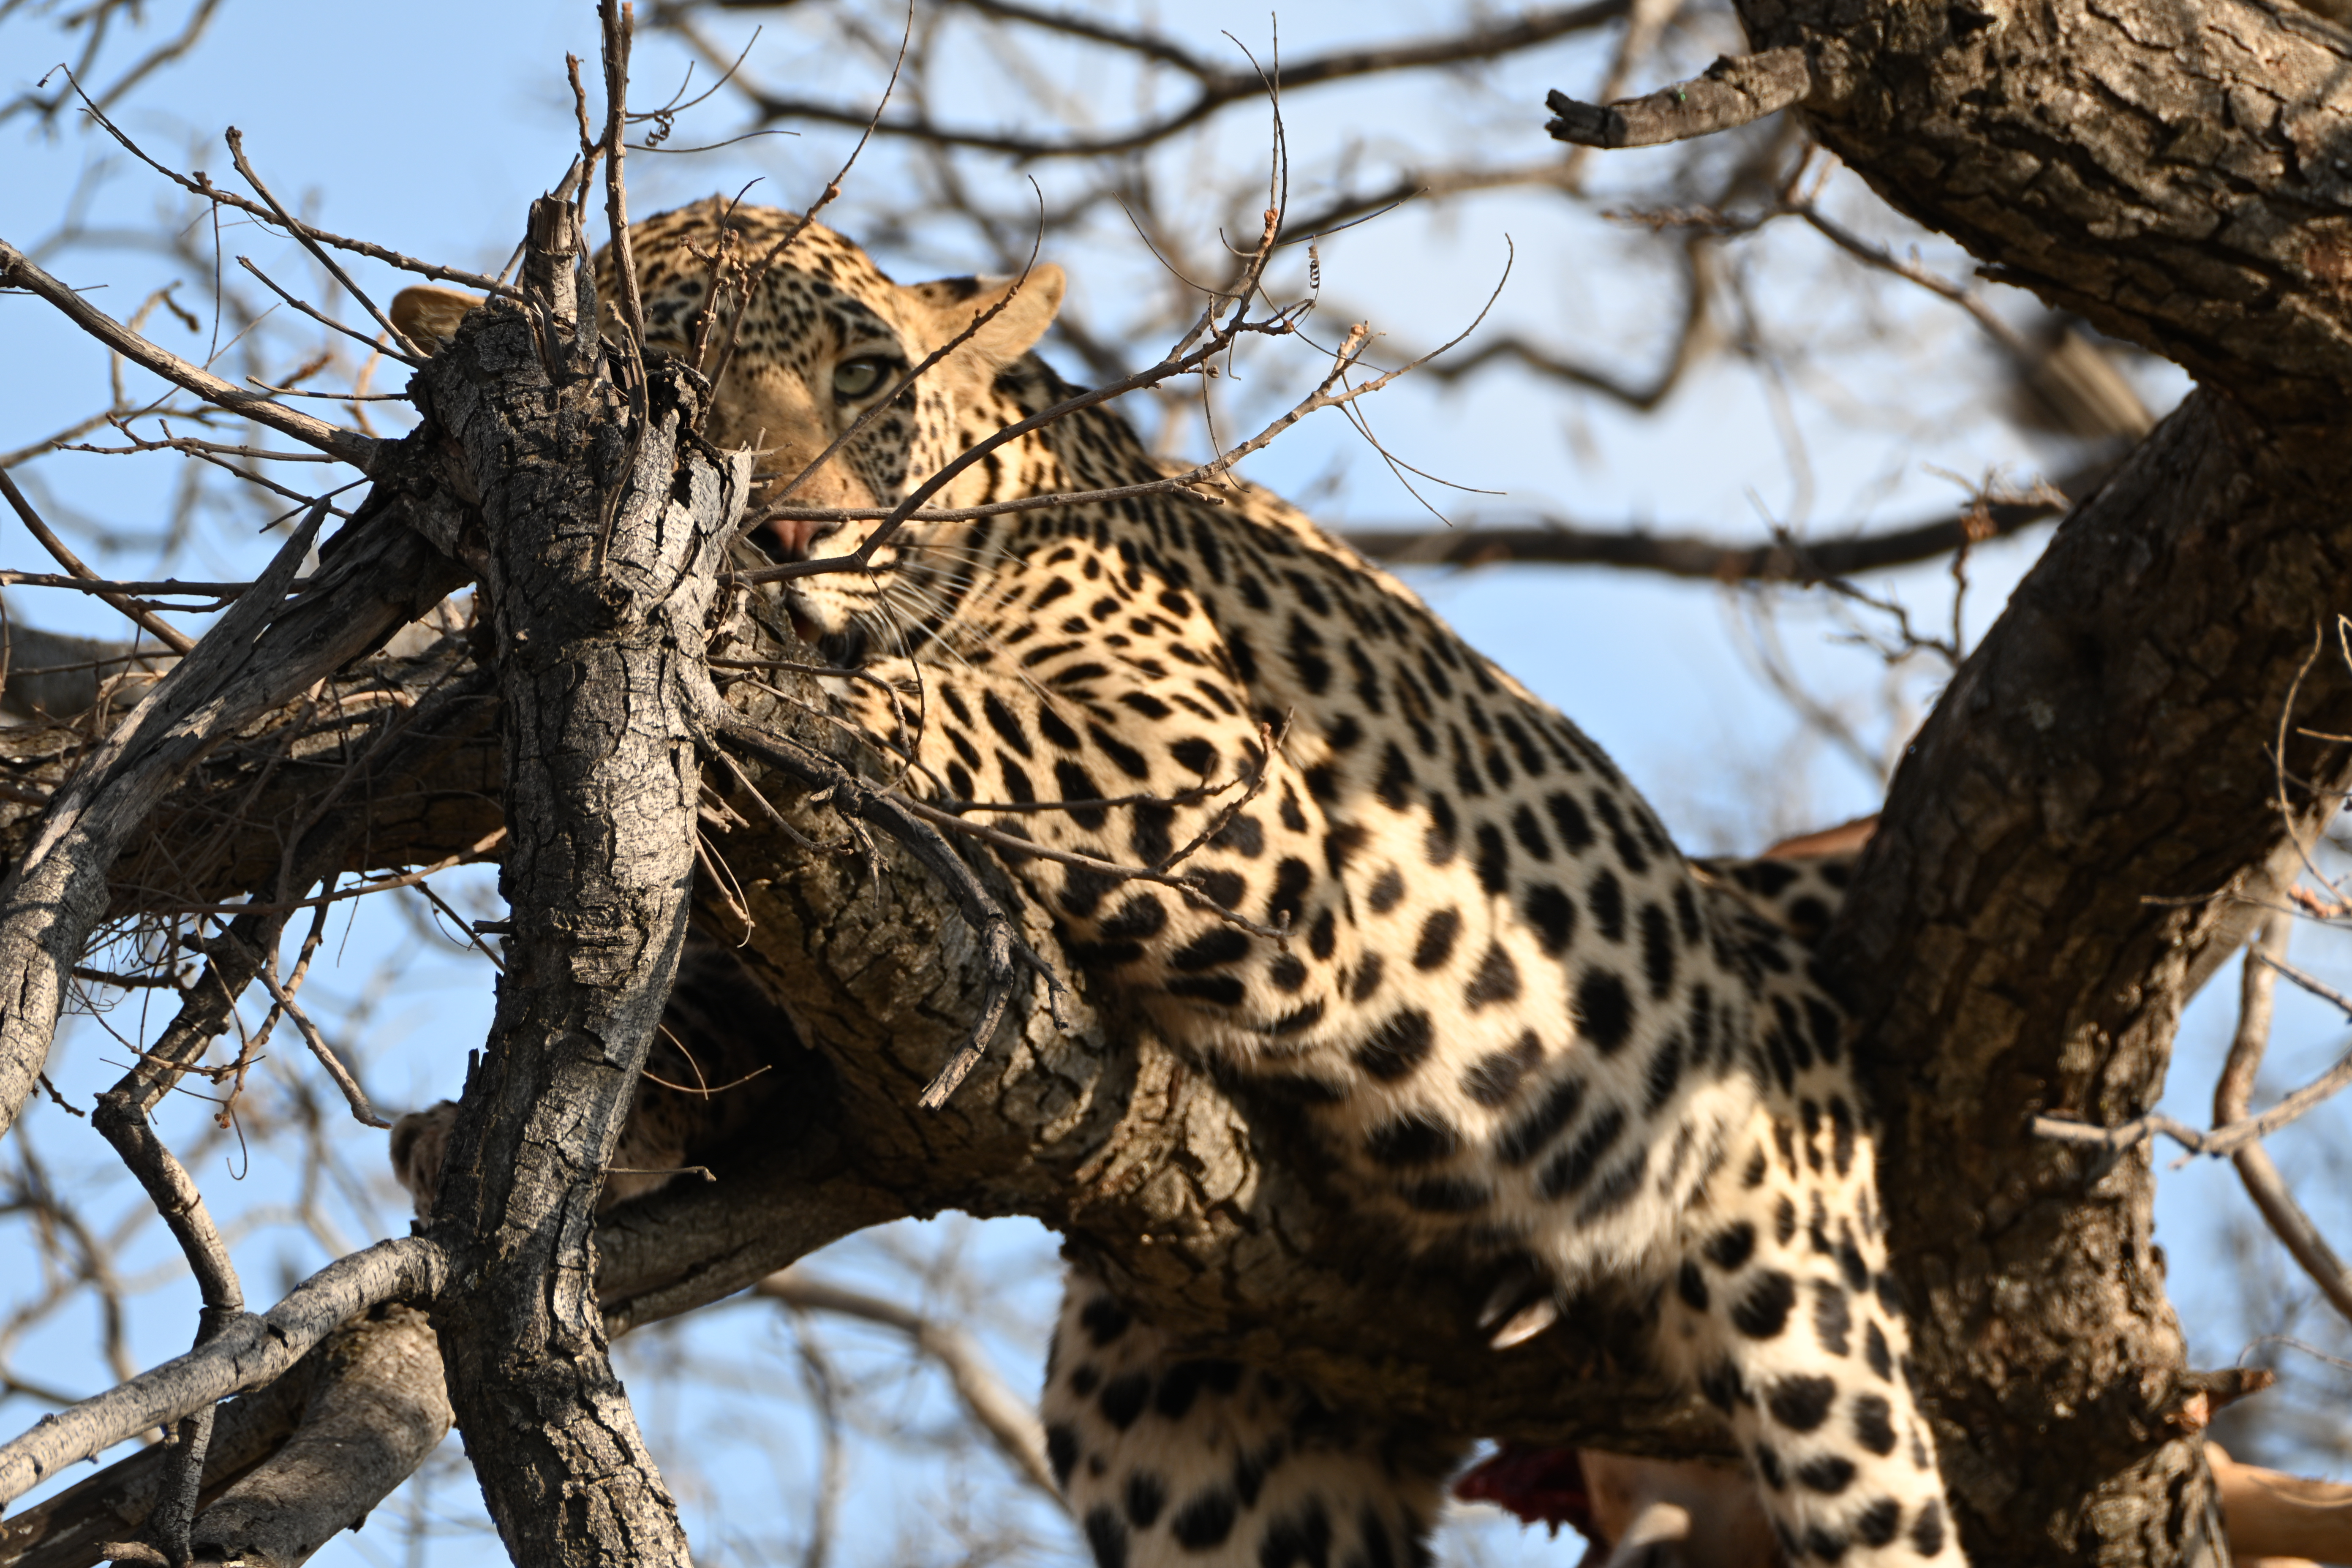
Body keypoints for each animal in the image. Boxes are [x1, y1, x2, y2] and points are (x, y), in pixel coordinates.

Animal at [390, 197, 1965, 1568]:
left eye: (863, 378)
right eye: (672, 379)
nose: (792, 538)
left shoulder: (1213, 775)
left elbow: (952, 710)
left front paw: (770, 673)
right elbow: (697, 1013)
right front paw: (528, 1123)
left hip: (1812, 1325)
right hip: (1177, 1425)